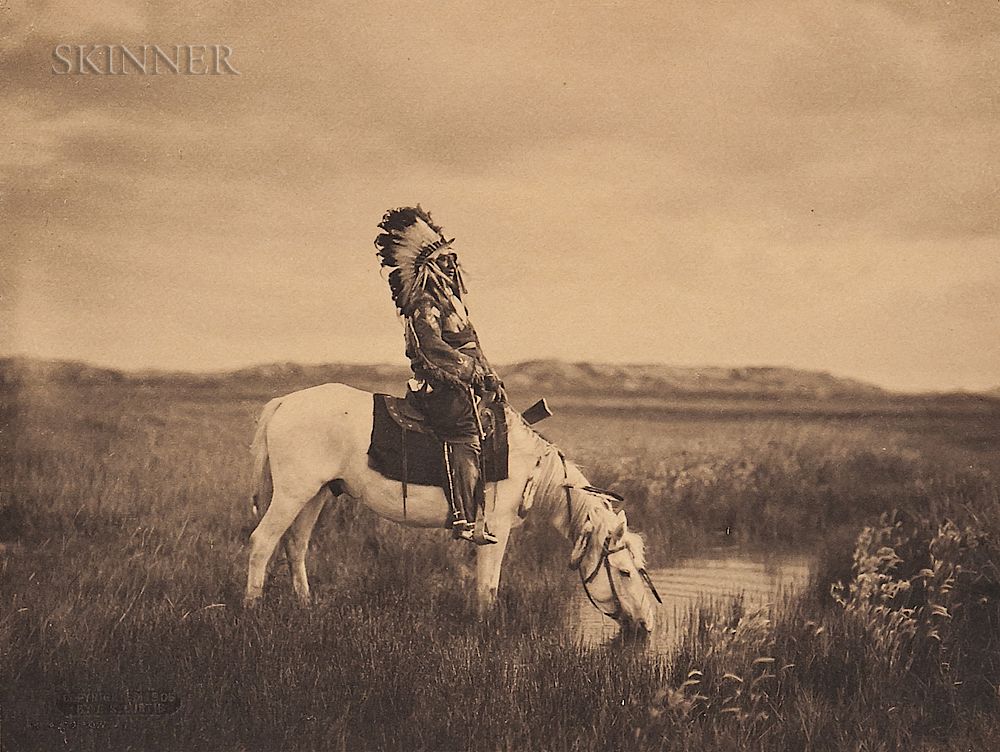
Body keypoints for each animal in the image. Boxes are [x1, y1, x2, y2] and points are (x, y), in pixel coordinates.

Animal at [246, 384, 660, 632]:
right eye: (624, 572)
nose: (647, 625)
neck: (531, 468)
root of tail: (284, 403)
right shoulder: (495, 531)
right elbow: (488, 586)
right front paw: (484, 629)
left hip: (314, 494)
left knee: (295, 546)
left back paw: (305, 606)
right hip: (291, 493)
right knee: (262, 543)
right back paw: (252, 609)